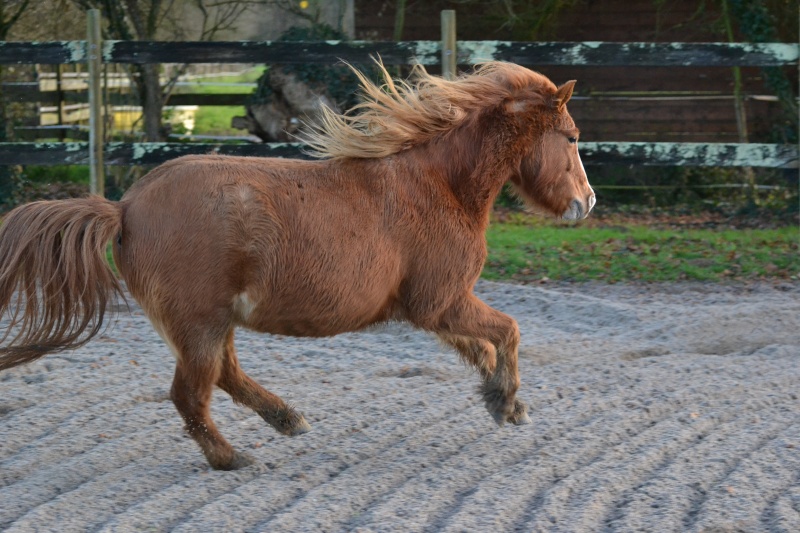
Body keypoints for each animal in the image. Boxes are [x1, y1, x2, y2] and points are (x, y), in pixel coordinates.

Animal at [0, 63, 592, 470]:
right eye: (571, 138)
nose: (585, 203)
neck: (438, 185)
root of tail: (123, 208)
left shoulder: (432, 309)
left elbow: (482, 347)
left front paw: (499, 400)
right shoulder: (440, 301)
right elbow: (508, 332)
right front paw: (508, 403)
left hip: (213, 323)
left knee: (225, 377)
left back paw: (287, 419)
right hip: (199, 323)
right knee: (192, 394)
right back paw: (233, 457)